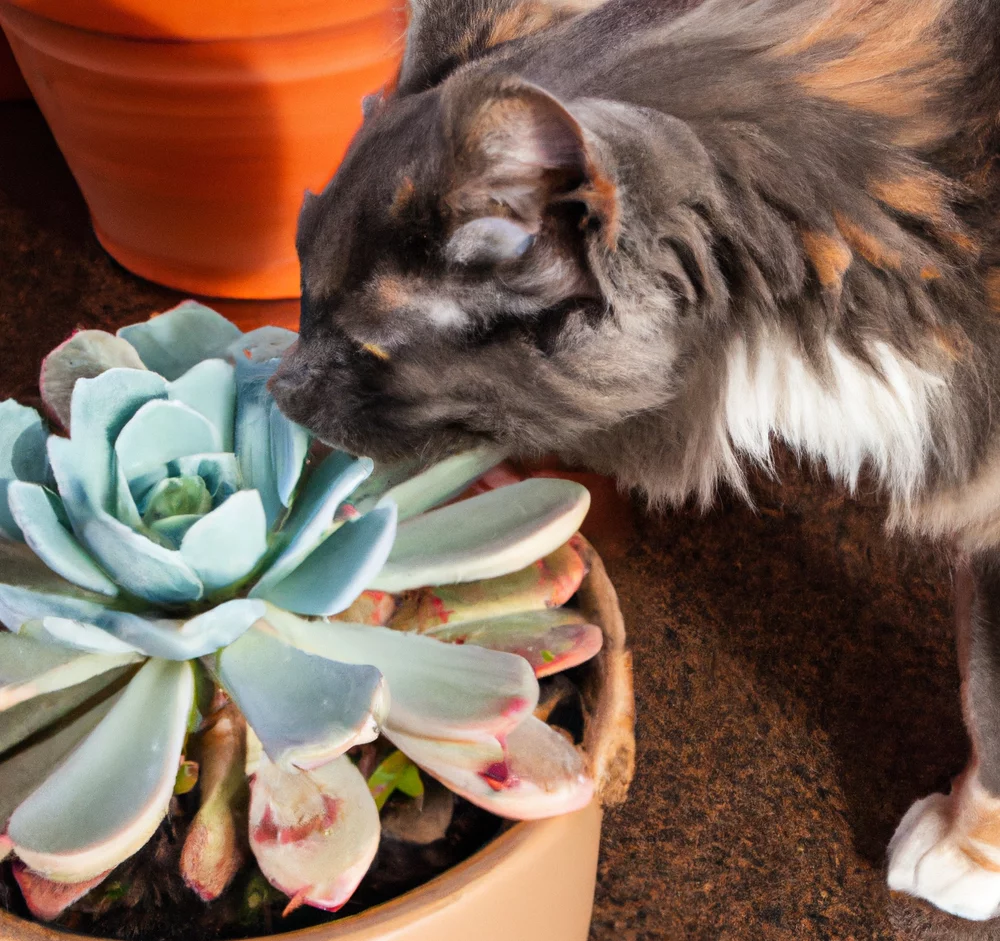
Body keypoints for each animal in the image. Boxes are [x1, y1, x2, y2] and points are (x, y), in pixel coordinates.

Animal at [272, 0, 1000, 924]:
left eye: (365, 347)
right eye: (301, 286)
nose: (280, 386)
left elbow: (990, 696)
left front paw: (967, 850)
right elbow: (981, 686)